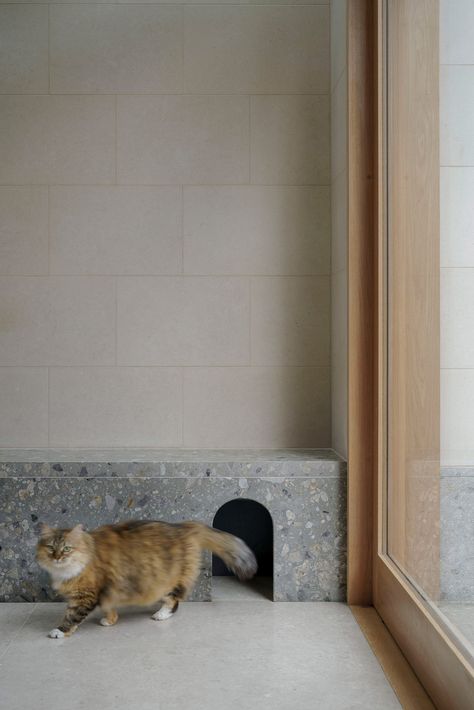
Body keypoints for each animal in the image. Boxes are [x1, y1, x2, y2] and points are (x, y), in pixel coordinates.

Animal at [36, 520, 258, 644]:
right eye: (51, 548)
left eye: (66, 549)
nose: (57, 557)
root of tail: (184, 526)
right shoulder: (105, 592)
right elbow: (109, 608)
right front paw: (110, 620)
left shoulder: (85, 596)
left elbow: (71, 617)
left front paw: (59, 631)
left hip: (165, 582)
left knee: (174, 601)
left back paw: (160, 615)